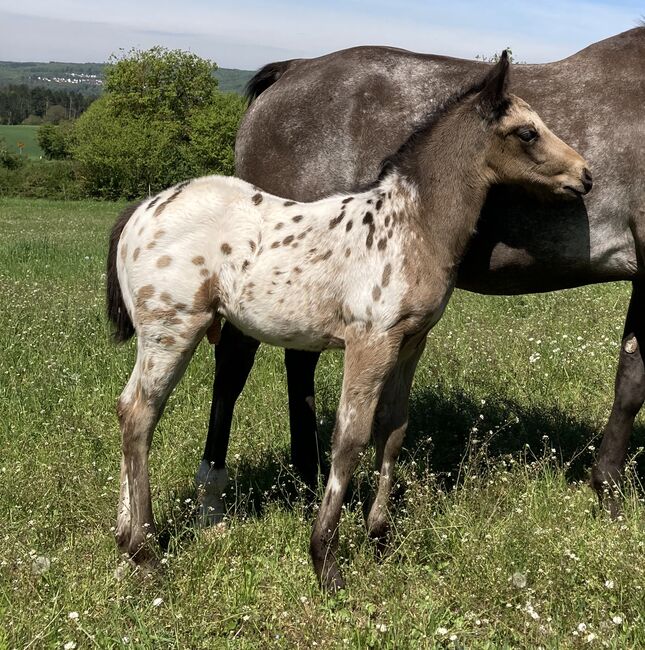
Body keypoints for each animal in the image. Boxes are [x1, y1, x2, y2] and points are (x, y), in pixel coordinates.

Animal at [108, 53, 592, 588]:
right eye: (527, 132)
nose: (586, 175)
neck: (411, 223)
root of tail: (141, 211)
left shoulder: (410, 342)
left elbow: (393, 429)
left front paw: (379, 537)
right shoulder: (370, 341)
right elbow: (349, 439)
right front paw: (326, 559)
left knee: (130, 410)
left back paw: (125, 538)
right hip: (172, 330)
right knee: (140, 414)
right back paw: (145, 551)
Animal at [199, 27, 640, 520]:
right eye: (527, 133)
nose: (586, 176)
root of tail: (292, 69)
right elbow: (633, 383)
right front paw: (609, 492)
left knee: (297, 360)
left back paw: (309, 477)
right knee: (234, 363)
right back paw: (213, 496)